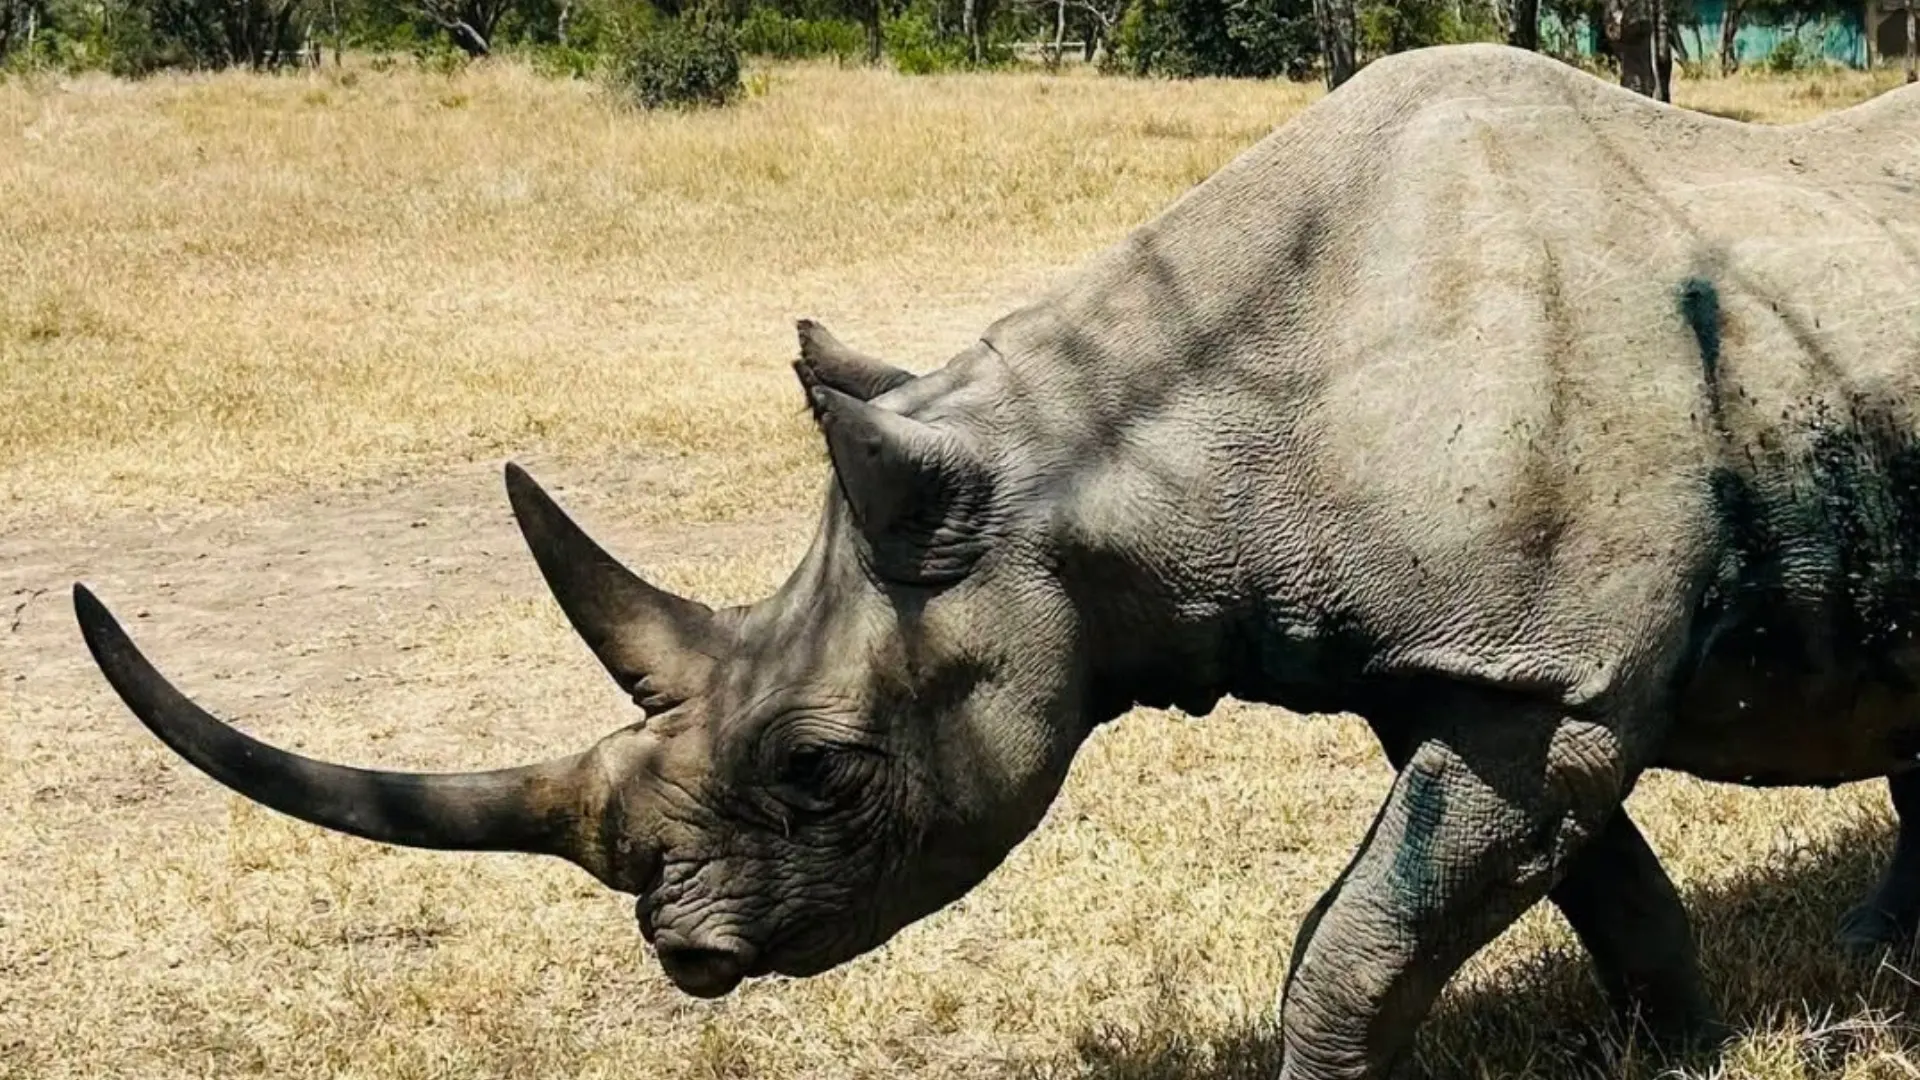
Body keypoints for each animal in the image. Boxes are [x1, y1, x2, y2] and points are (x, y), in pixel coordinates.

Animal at [74, 43, 1920, 1079]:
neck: (1124, 458)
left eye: (822, 772)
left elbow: (1360, 942)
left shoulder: (1544, 676)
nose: (683, 956)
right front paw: (1684, 1055)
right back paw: (1878, 966)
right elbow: (1603, 892)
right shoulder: (1465, 664)